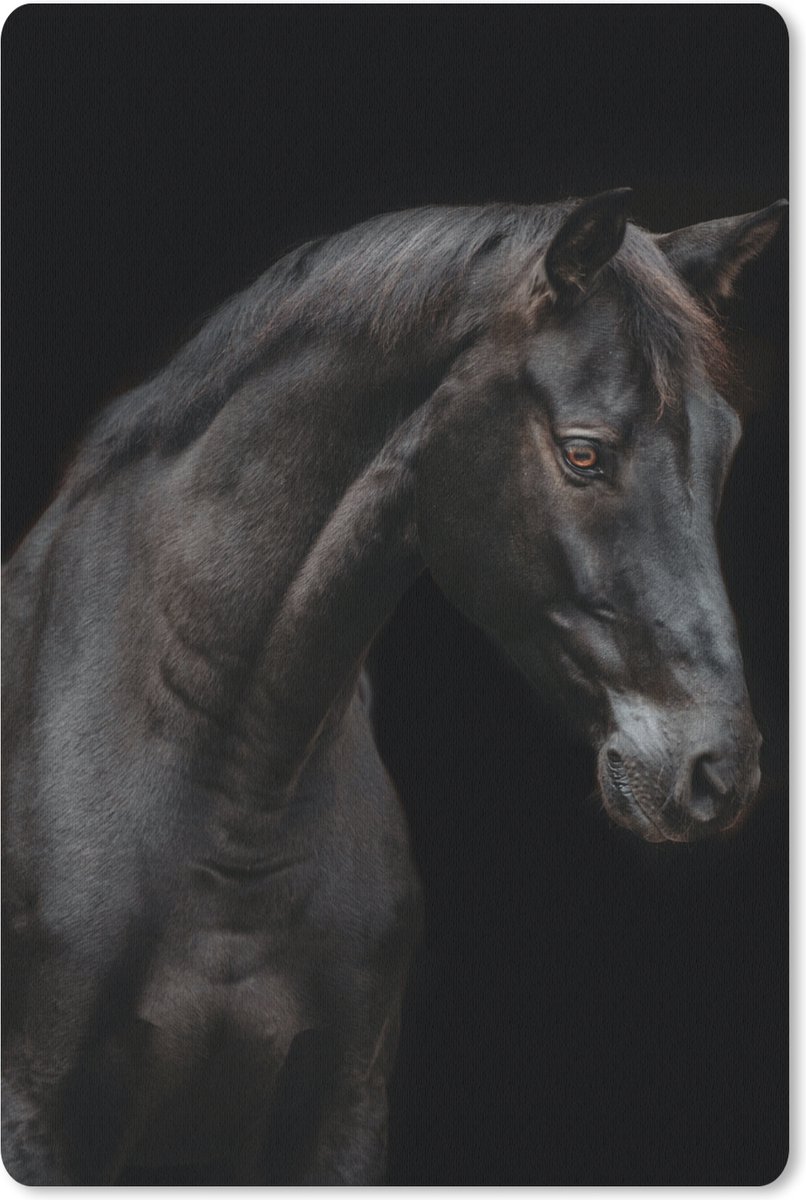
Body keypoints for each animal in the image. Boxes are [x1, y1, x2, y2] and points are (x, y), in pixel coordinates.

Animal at [2, 189, 786, 1184]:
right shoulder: (34, 1113)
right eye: (583, 454)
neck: (229, 791)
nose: (718, 771)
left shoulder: (347, 1111)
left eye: (724, 450)